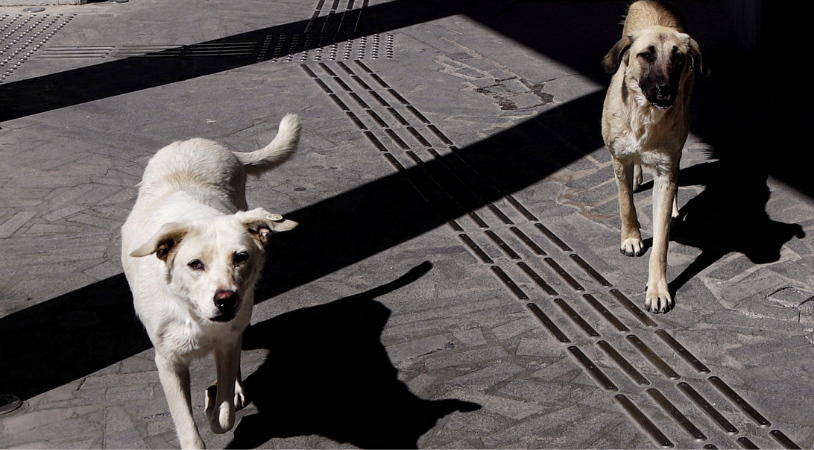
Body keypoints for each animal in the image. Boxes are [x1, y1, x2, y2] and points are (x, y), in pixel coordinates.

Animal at [119, 114, 302, 448]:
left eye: (240, 257)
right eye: (195, 264)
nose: (225, 300)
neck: (192, 313)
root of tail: (199, 142)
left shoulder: (227, 341)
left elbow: (224, 415)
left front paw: (213, 402)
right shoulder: (168, 363)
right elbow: (189, 429)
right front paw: (203, 412)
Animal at [604, 0, 704, 312]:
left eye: (679, 58)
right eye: (646, 55)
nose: (665, 90)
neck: (645, 115)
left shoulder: (665, 169)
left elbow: (661, 243)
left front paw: (658, 289)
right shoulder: (618, 159)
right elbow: (625, 204)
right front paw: (631, 238)